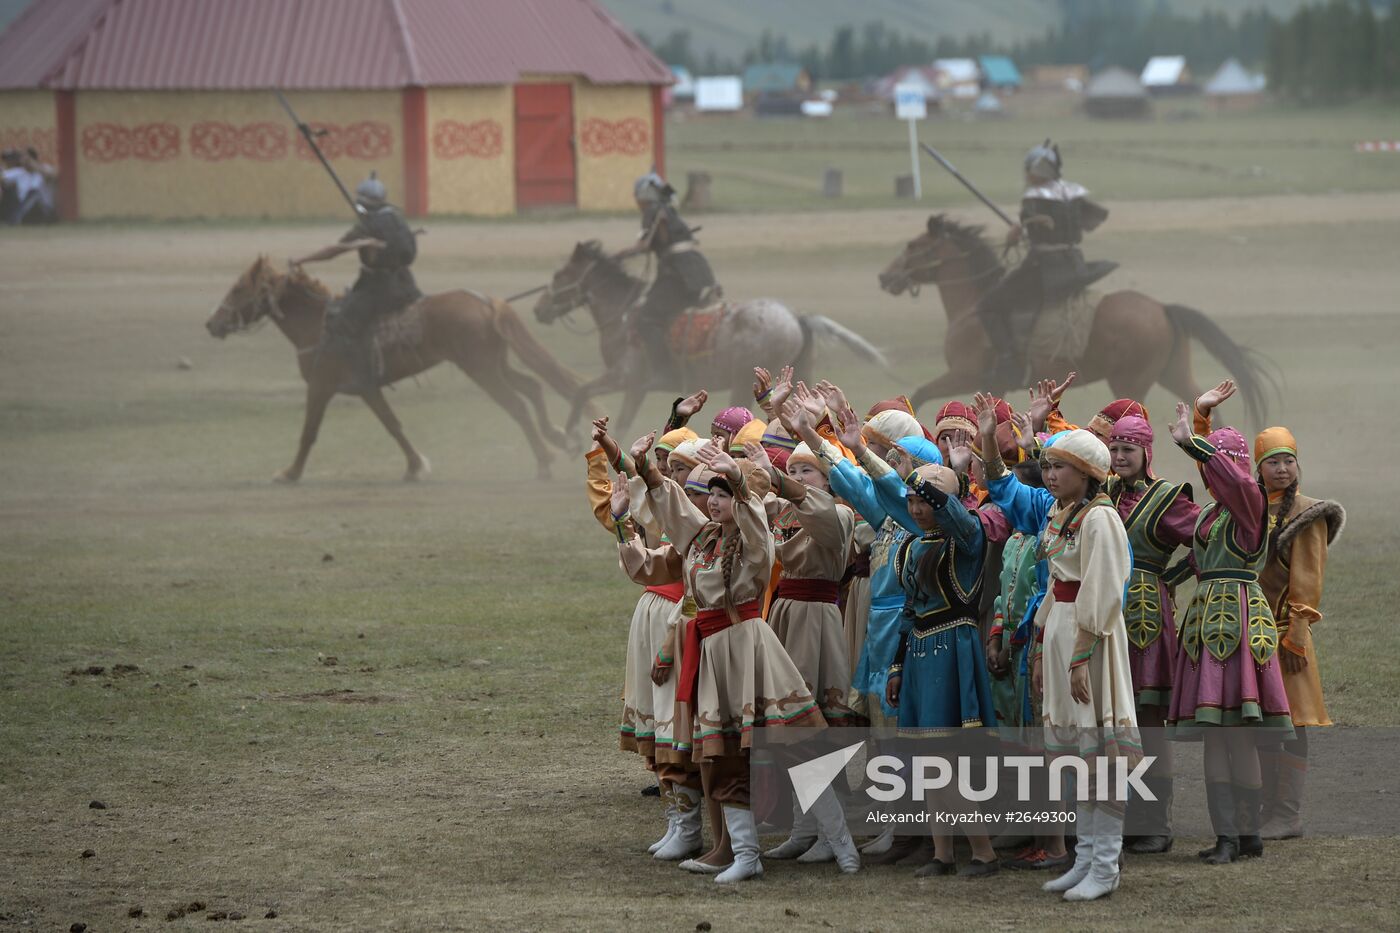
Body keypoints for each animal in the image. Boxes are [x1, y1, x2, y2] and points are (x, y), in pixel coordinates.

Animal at [204, 257, 582, 481]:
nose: (212, 324)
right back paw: (556, 438)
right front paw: (415, 466)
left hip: (482, 369)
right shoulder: (367, 388)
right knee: (532, 387)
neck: (318, 325)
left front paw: (290, 472)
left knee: (516, 405)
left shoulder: (321, 387)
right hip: (496, 364)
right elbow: (393, 425)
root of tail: (487, 302)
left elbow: (309, 432)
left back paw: (544, 461)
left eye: (238, 289)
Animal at [534, 239, 884, 437]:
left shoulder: (628, 380)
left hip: (741, 383)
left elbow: (584, 394)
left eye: (560, 275)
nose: (539, 308)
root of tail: (795, 316)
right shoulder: (634, 386)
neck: (621, 315)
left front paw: (570, 436)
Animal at [873, 212, 1271, 420]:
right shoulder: (990, 385)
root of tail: (1161, 309)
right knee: (1202, 400)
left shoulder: (964, 374)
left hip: (1131, 380)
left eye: (913, 246)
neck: (971, 307)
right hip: (1172, 373)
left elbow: (921, 393)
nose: (884, 276)